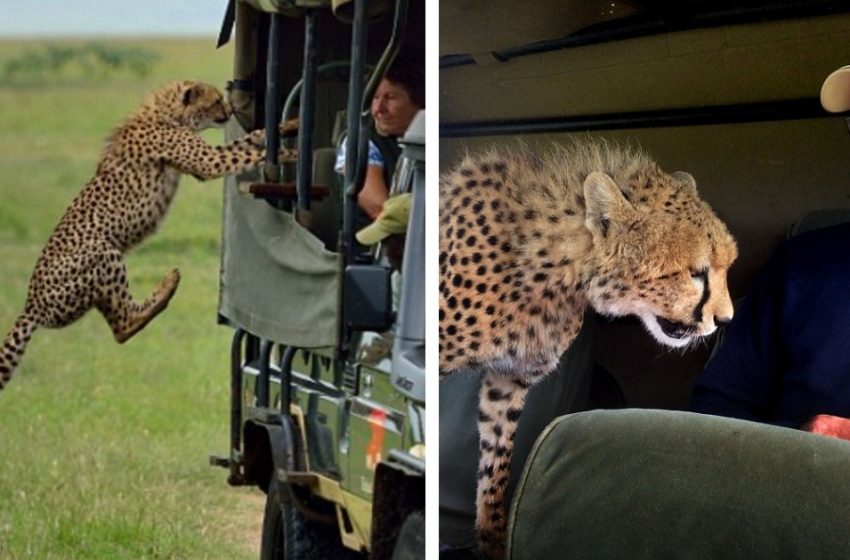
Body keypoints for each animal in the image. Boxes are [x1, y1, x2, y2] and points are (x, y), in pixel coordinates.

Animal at [0, 81, 298, 390]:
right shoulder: (209, 163)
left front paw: (288, 126)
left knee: (119, 327)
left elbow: (251, 140)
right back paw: (167, 286)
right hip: (101, 252)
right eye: (216, 101)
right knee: (124, 325)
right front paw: (289, 154)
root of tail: (29, 306)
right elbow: (247, 154)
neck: (168, 114)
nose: (228, 112)